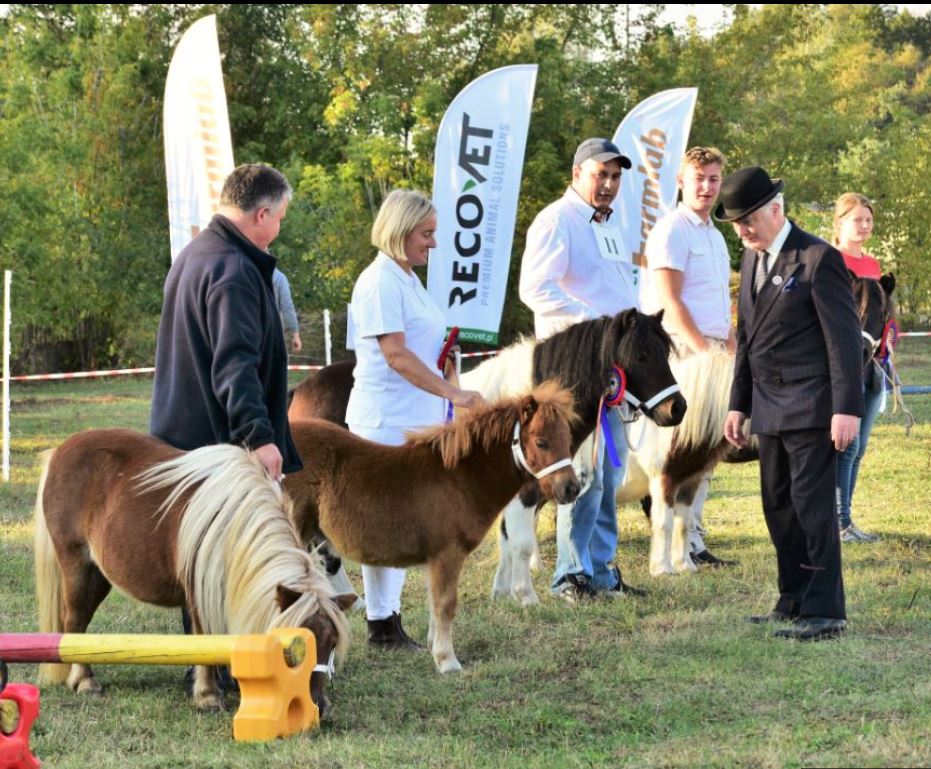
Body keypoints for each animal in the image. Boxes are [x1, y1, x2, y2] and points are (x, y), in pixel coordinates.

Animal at [33, 428, 354, 712]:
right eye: (294, 648)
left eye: (332, 643)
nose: (319, 707)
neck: (233, 524)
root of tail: (59, 452)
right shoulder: (200, 593)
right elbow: (206, 639)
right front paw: (208, 696)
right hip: (77, 565)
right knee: (74, 621)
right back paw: (84, 680)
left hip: (99, 576)